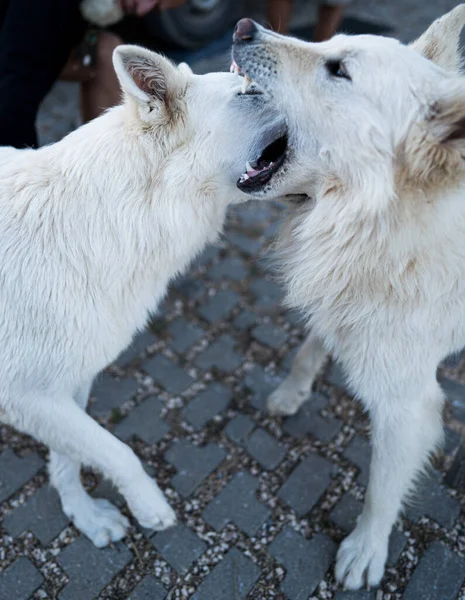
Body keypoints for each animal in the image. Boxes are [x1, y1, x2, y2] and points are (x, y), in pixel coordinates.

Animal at [0, 44, 290, 548]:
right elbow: (117, 452)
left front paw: (83, 514)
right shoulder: (25, 395)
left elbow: (72, 456)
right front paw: (150, 506)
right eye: (248, 92)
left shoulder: (67, 381)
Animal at [232, 5, 465, 592]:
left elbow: (381, 489)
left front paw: (365, 550)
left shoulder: (407, 406)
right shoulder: (338, 298)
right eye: (328, 43)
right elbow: (308, 349)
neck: (382, 225)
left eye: (339, 70)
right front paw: (291, 393)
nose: (243, 25)